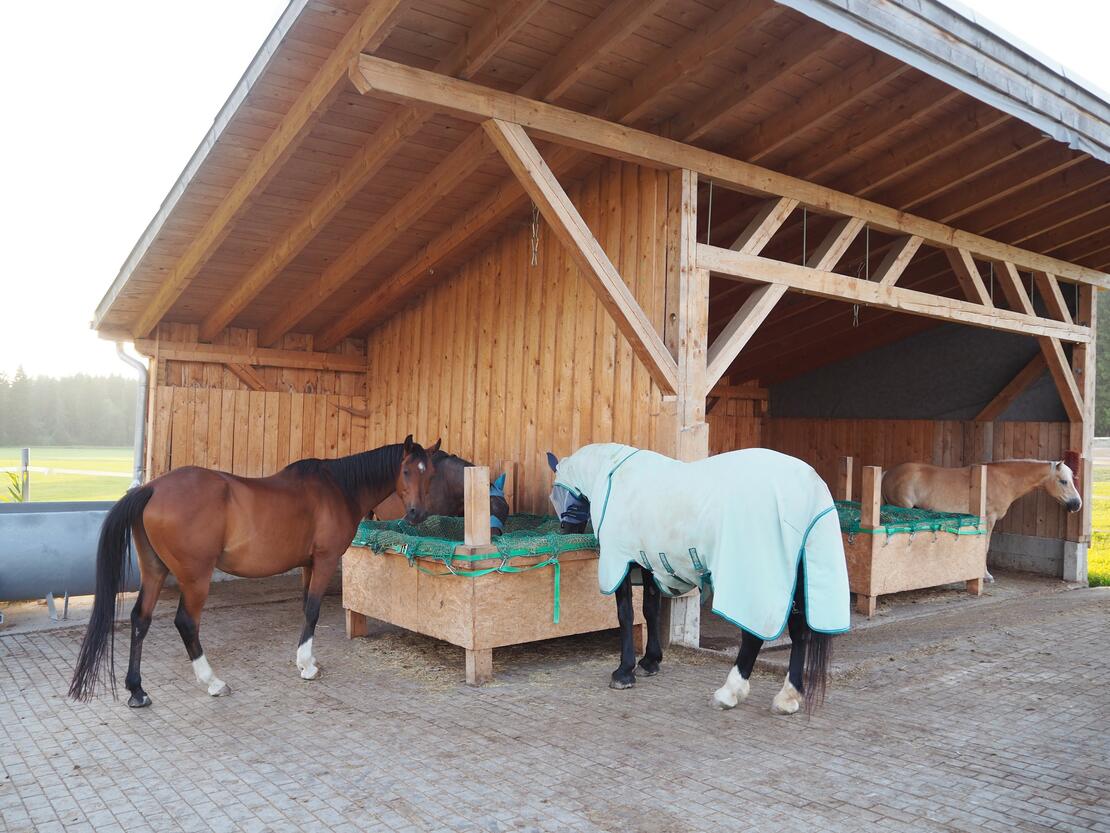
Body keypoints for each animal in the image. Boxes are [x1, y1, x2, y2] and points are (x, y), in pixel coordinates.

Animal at [68, 436, 441, 708]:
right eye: (407, 471)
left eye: (431, 474)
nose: (417, 513)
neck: (338, 487)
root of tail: (152, 488)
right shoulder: (324, 561)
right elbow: (314, 609)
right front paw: (307, 665)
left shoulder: (308, 564)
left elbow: (305, 607)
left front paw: (303, 659)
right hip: (196, 578)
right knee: (186, 623)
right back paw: (213, 682)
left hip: (154, 572)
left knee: (140, 620)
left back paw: (137, 691)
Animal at [548, 444, 850, 714]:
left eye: (557, 492)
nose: (565, 528)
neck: (614, 476)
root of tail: (807, 489)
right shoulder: (648, 561)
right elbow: (650, 609)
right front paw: (650, 661)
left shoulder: (621, 560)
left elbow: (626, 613)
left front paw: (624, 672)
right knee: (800, 633)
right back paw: (788, 697)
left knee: (754, 635)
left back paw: (729, 693)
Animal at [882, 459, 1081, 580]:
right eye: (1063, 481)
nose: (1077, 504)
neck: (1002, 480)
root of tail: (888, 473)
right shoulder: (989, 519)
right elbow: (985, 547)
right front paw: (986, 575)